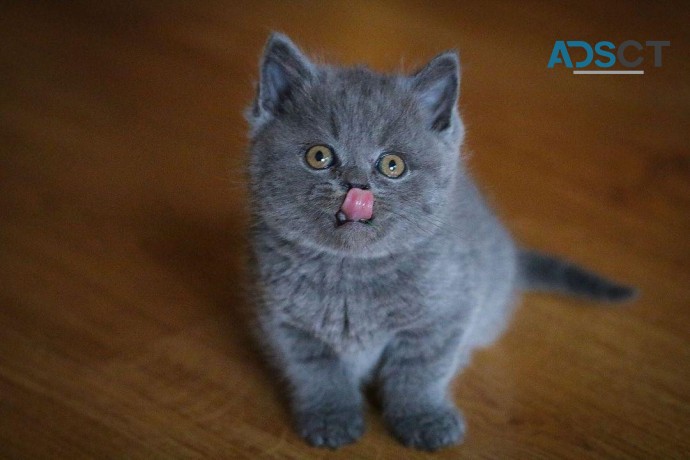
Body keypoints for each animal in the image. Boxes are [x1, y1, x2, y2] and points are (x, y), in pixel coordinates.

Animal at [245, 33, 632, 452]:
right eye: (319, 156)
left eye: (392, 165)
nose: (357, 186)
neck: (352, 272)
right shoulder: (284, 320)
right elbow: (316, 371)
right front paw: (331, 417)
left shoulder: (447, 313)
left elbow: (420, 371)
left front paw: (423, 418)